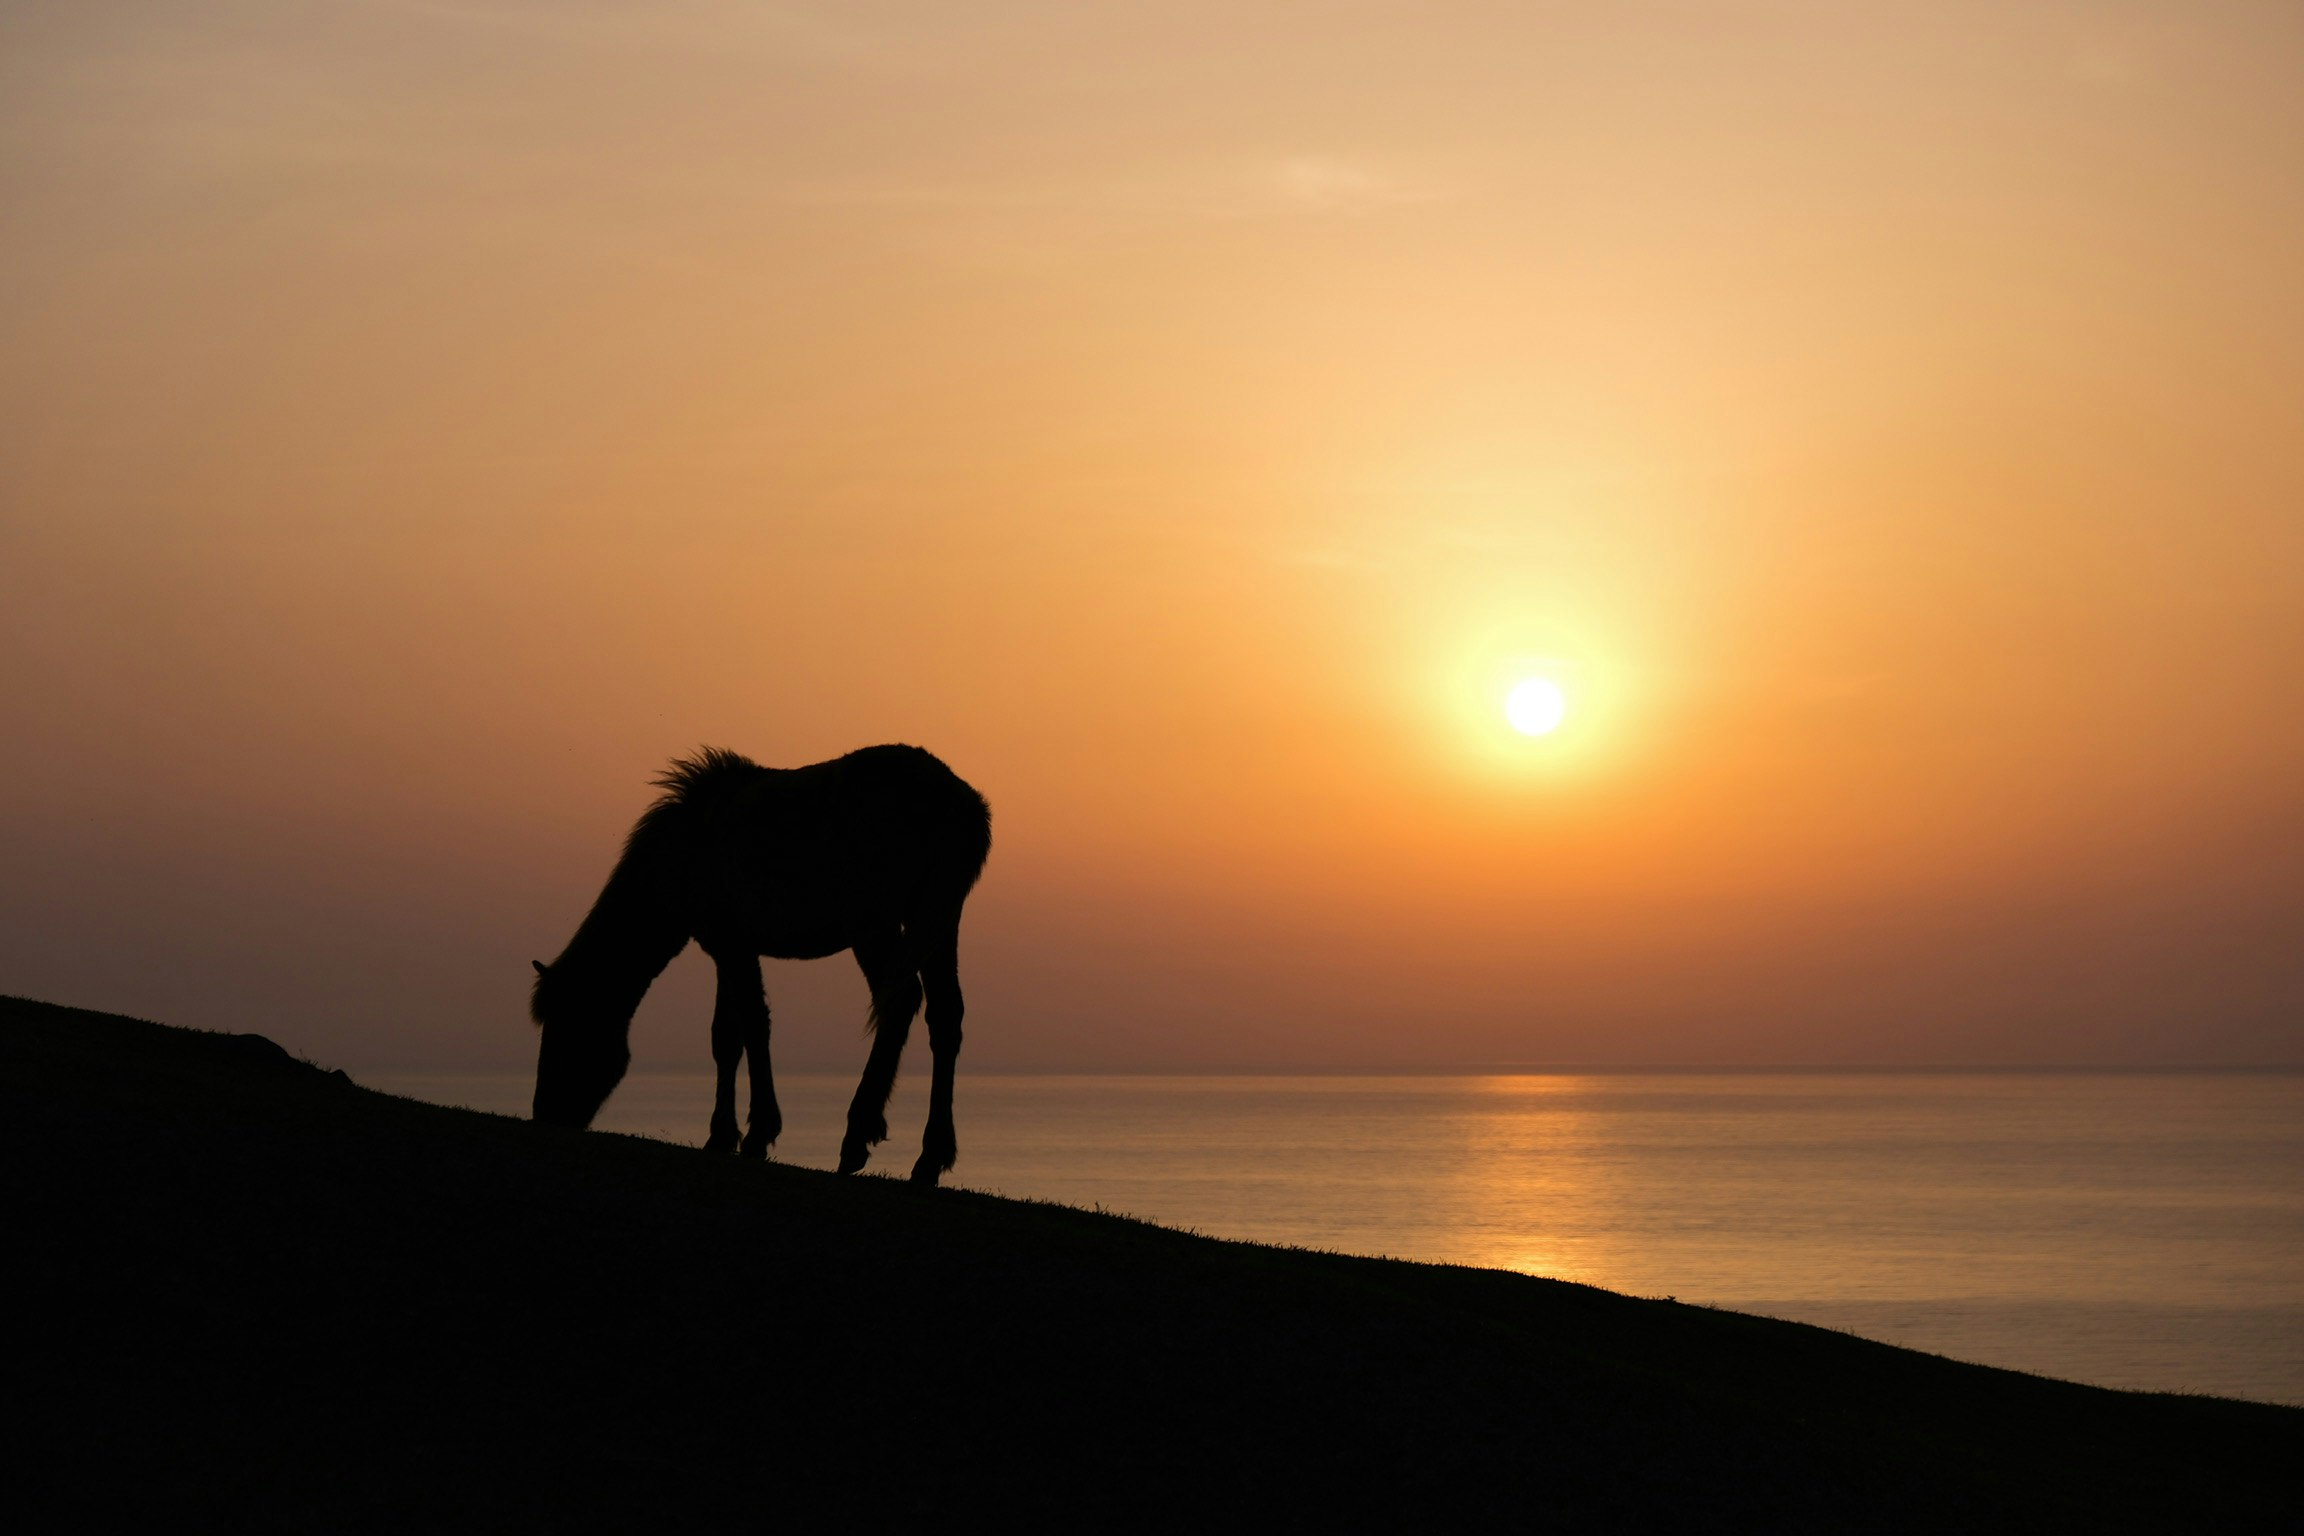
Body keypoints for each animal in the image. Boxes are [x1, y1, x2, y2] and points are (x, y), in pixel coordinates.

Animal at [528, 744, 992, 1185]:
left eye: (566, 1027)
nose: (545, 1115)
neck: (684, 851)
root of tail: (959, 802)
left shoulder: (732, 945)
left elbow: (752, 1024)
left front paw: (757, 1133)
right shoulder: (727, 948)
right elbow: (725, 1037)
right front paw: (721, 1135)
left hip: (875, 926)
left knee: (898, 1004)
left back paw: (857, 1136)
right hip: (937, 921)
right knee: (945, 1017)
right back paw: (930, 1159)